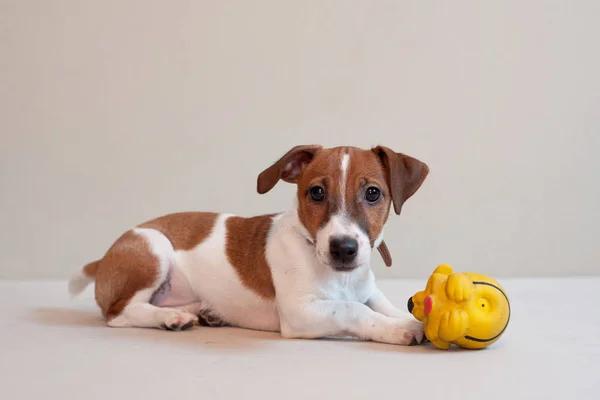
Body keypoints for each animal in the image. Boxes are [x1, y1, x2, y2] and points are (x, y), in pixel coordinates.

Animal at [68, 145, 428, 346]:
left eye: (373, 193)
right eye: (316, 193)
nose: (343, 248)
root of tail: (104, 259)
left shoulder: (368, 291)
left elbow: (381, 305)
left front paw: (407, 318)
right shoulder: (300, 312)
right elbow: (354, 309)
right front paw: (398, 329)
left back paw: (202, 312)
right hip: (153, 249)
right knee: (119, 312)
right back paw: (169, 318)